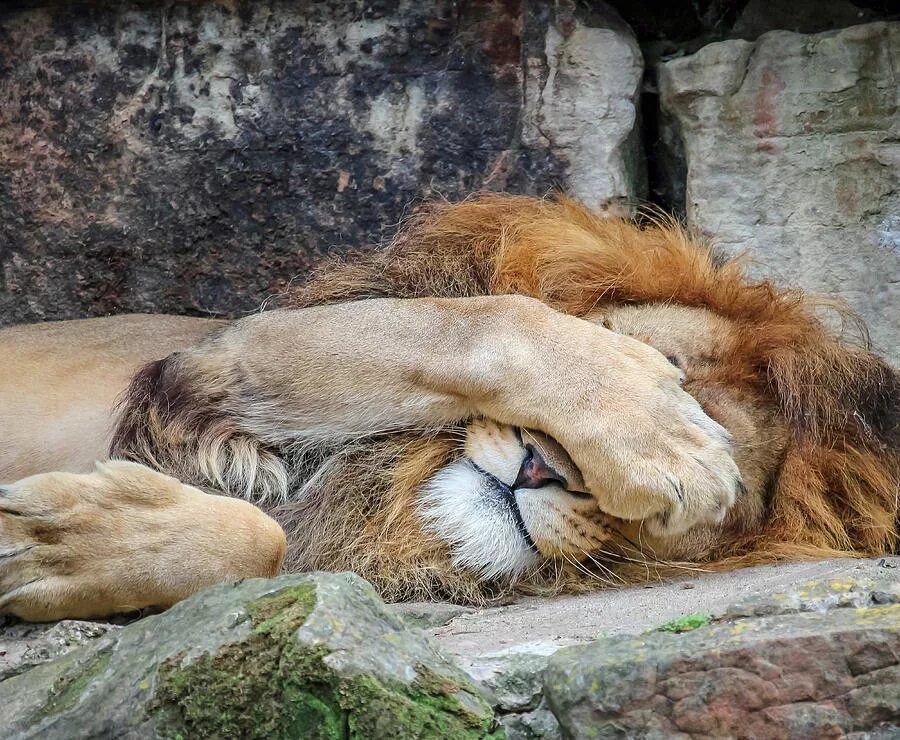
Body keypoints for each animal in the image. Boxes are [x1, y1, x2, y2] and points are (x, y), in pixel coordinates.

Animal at [0, 194, 896, 620]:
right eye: (668, 371)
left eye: (730, 502)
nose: (541, 472)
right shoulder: (230, 353)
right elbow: (494, 321)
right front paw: (658, 438)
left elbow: (265, 541)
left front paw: (44, 548)